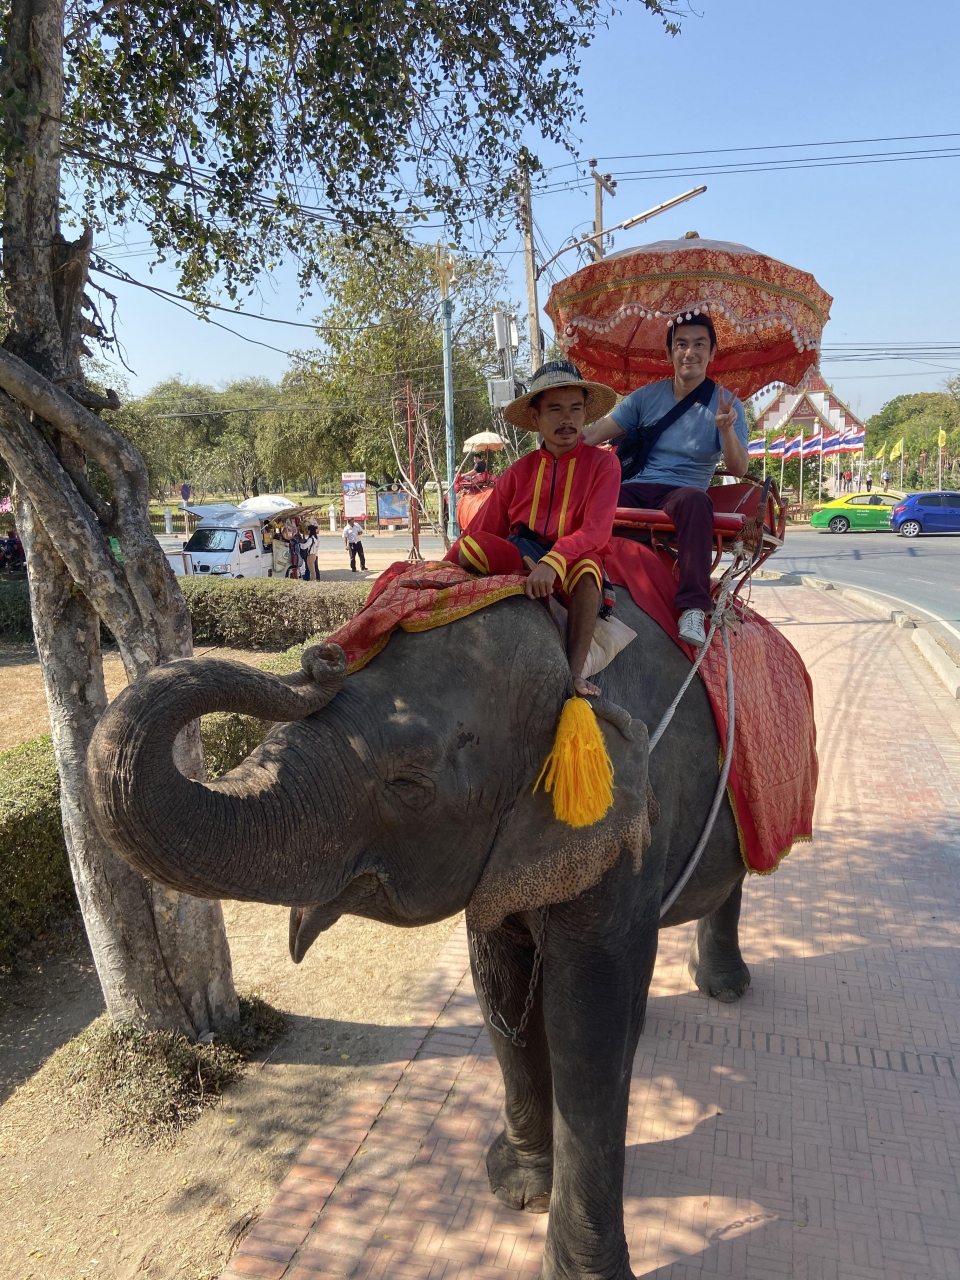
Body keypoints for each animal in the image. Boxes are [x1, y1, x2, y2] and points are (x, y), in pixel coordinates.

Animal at [86, 588, 757, 1280]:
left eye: (409, 785)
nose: (320, 658)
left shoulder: (626, 839)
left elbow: (588, 1028)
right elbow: (500, 996)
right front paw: (517, 1189)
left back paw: (724, 989)